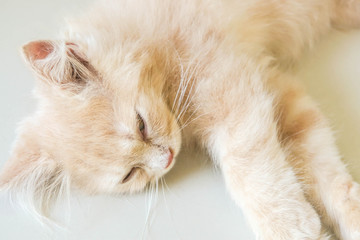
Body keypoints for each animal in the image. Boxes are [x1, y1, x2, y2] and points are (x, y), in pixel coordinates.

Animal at [0, 0, 360, 239]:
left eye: (141, 125)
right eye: (130, 175)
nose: (167, 158)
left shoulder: (236, 95)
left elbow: (250, 170)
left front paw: (289, 227)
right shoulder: (277, 92)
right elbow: (323, 171)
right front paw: (346, 219)